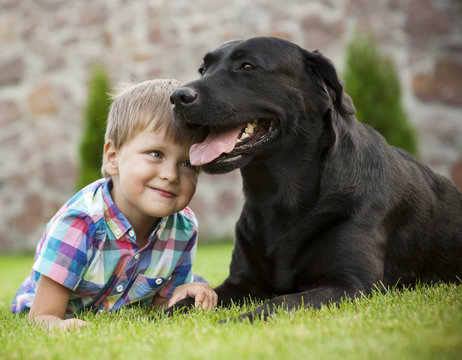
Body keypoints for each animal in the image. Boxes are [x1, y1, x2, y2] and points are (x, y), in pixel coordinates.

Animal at [170, 35, 462, 320]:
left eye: (247, 66)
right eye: (203, 69)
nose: (177, 96)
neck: (277, 196)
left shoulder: (350, 285)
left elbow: (280, 302)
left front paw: (233, 321)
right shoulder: (242, 283)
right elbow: (182, 303)